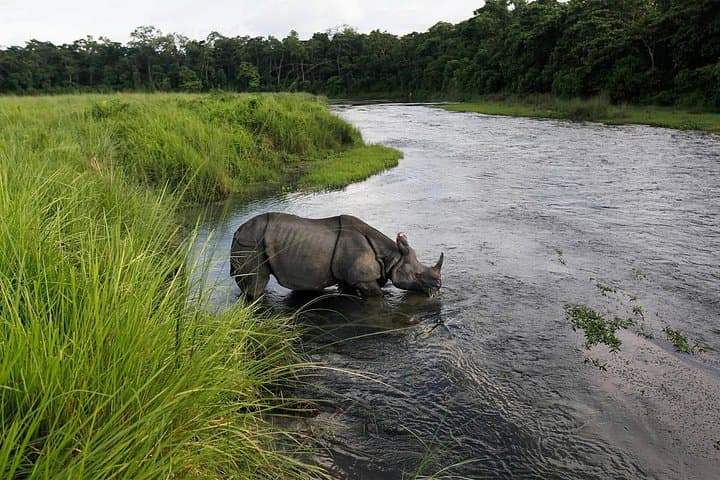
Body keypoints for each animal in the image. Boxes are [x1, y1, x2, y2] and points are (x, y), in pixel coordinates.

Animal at [230, 212, 443, 298]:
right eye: (417, 275)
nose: (439, 286)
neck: (391, 257)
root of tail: (237, 231)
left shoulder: (350, 277)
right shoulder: (362, 278)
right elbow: (377, 295)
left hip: (250, 242)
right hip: (251, 243)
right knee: (256, 283)